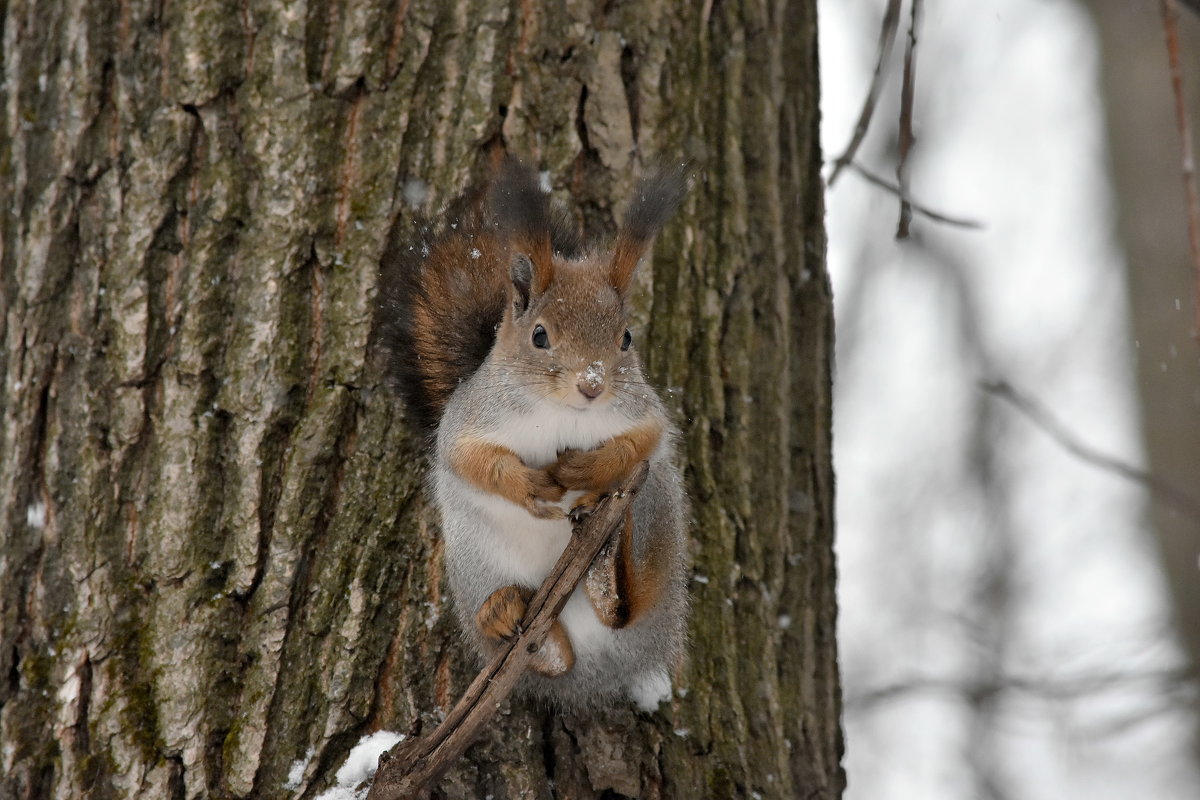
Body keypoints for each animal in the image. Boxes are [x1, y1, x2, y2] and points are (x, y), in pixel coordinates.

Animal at [374, 155, 696, 714]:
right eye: (540, 335)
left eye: (626, 338)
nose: (592, 384)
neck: (563, 413)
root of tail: (598, 672)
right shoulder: (470, 419)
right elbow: (469, 458)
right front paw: (528, 484)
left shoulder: (644, 413)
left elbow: (643, 442)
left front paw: (586, 466)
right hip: (476, 560)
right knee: (539, 651)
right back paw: (512, 618)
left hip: (655, 512)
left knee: (629, 606)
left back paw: (608, 576)